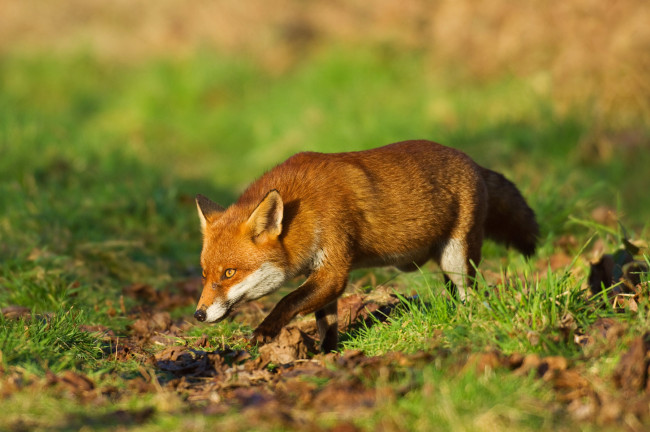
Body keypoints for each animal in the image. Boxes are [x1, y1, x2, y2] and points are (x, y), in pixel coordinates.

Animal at [192, 140, 536, 352]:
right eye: (205, 274)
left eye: (229, 273)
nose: (198, 315)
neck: (305, 210)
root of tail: (473, 162)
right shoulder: (323, 275)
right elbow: (326, 323)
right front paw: (326, 354)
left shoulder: (334, 268)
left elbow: (287, 302)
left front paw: (265, 331)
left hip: (458, 261)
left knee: (473, 296)